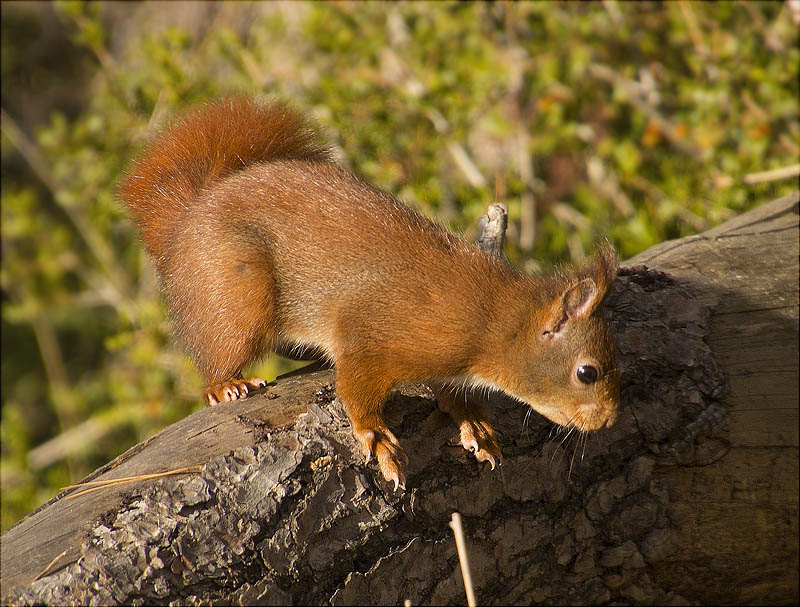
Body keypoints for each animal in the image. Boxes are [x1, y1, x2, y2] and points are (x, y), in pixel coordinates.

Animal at [119, 97, 620, 492]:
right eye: (587, 372)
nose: (609, 421)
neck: (492, 317)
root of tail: (189, 219)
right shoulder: (374, 331)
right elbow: (357, 387)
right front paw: (376, 438)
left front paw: (471, 419)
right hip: (237, 291)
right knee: (218, 350)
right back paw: (226, 384)